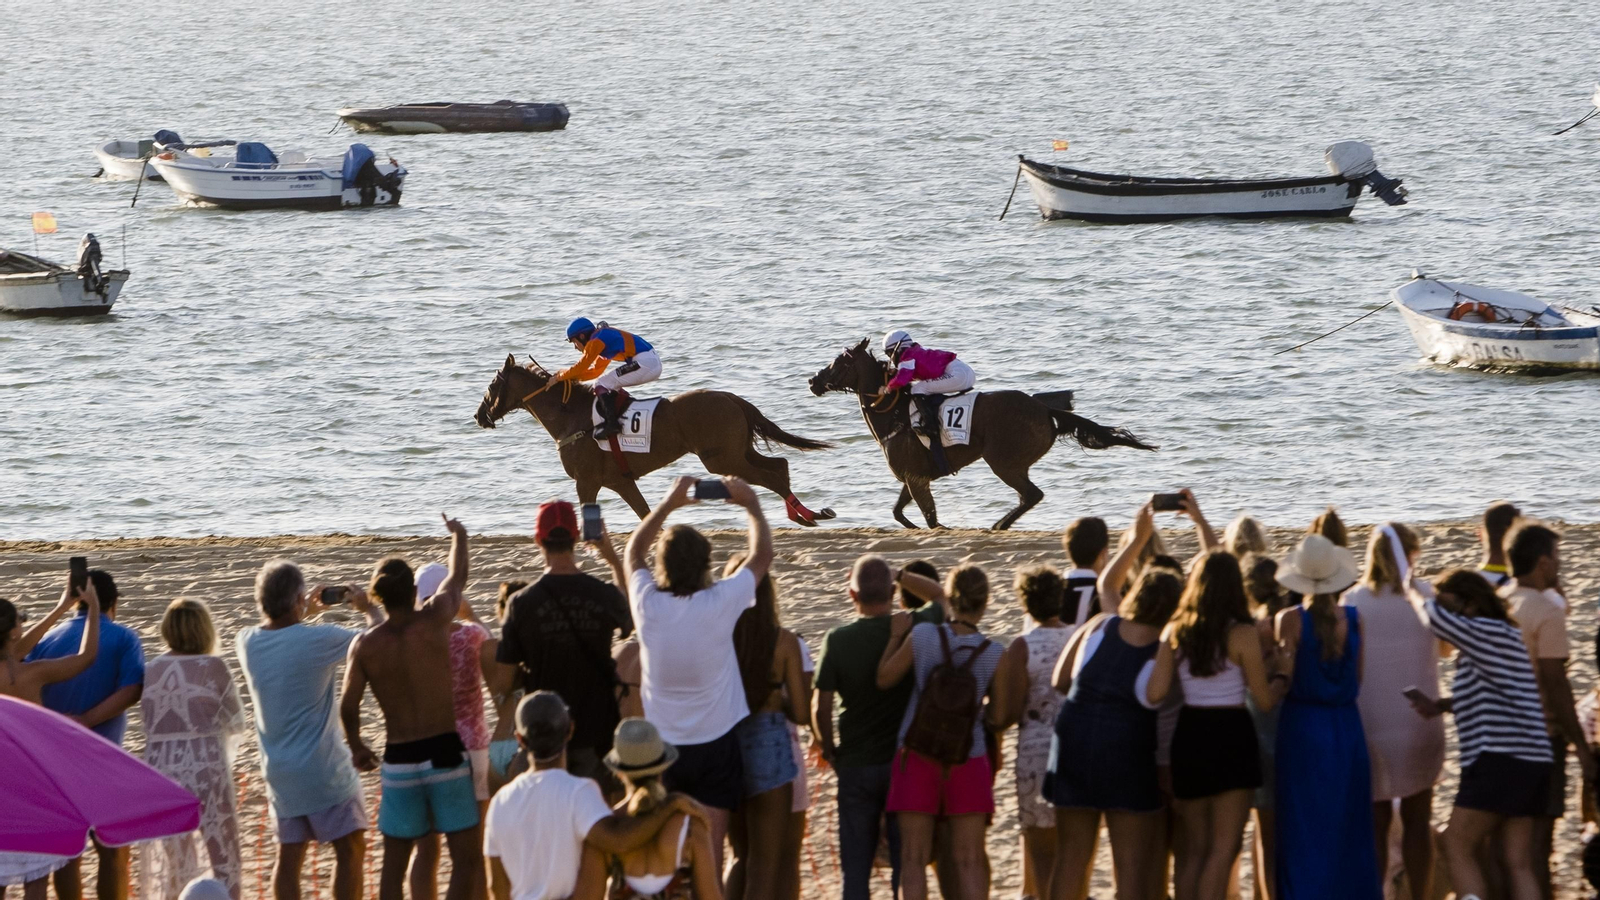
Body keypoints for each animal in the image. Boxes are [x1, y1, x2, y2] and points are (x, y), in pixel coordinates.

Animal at [475, 355, 838, 525]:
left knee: (771, 475)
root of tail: (731, 397)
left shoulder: (586, 481)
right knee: (780, 466)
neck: (570, 416)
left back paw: (805, 515)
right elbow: (646, 515)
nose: (480, 416)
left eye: (491, 387)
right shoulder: (620, 481)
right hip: (737, 452)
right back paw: (806, 514)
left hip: (722, 459)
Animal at [807, 339, 1156, 529]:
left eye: (838, 363)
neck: (894, 413)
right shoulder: (913, 476)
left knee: (1032, 494)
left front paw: (943, 528)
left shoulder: (916, 477)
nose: (813, 381)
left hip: (1003, 461)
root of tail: (1044, 409)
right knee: (1030, 496)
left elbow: (930, 519)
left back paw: (999, 524)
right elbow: (899, 514)